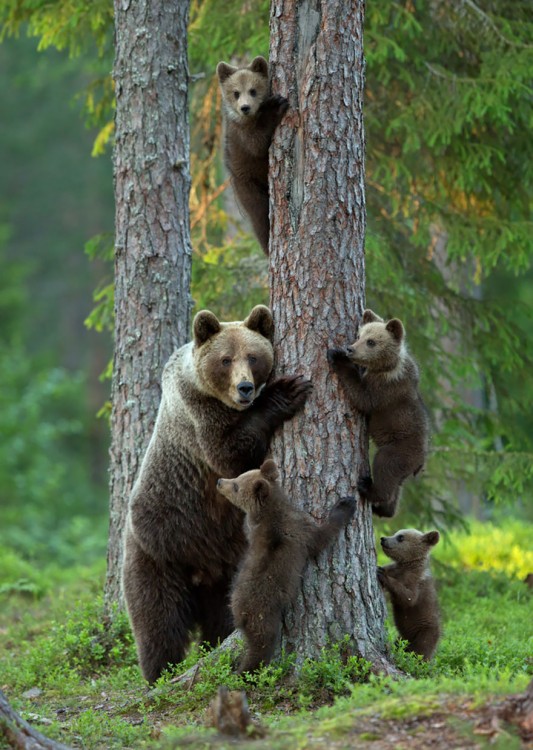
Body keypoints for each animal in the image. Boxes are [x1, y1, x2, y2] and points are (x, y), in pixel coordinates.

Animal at [122, 304, 310, 680]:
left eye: (252, 356)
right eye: (225, 359)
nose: (245, 387)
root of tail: (201, 570)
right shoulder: (198, 415)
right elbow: (228, 454)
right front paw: (286, 392)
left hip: (227, 568)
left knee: (222, 617)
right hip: (157, 549)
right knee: (158, 621)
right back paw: (159, 673)